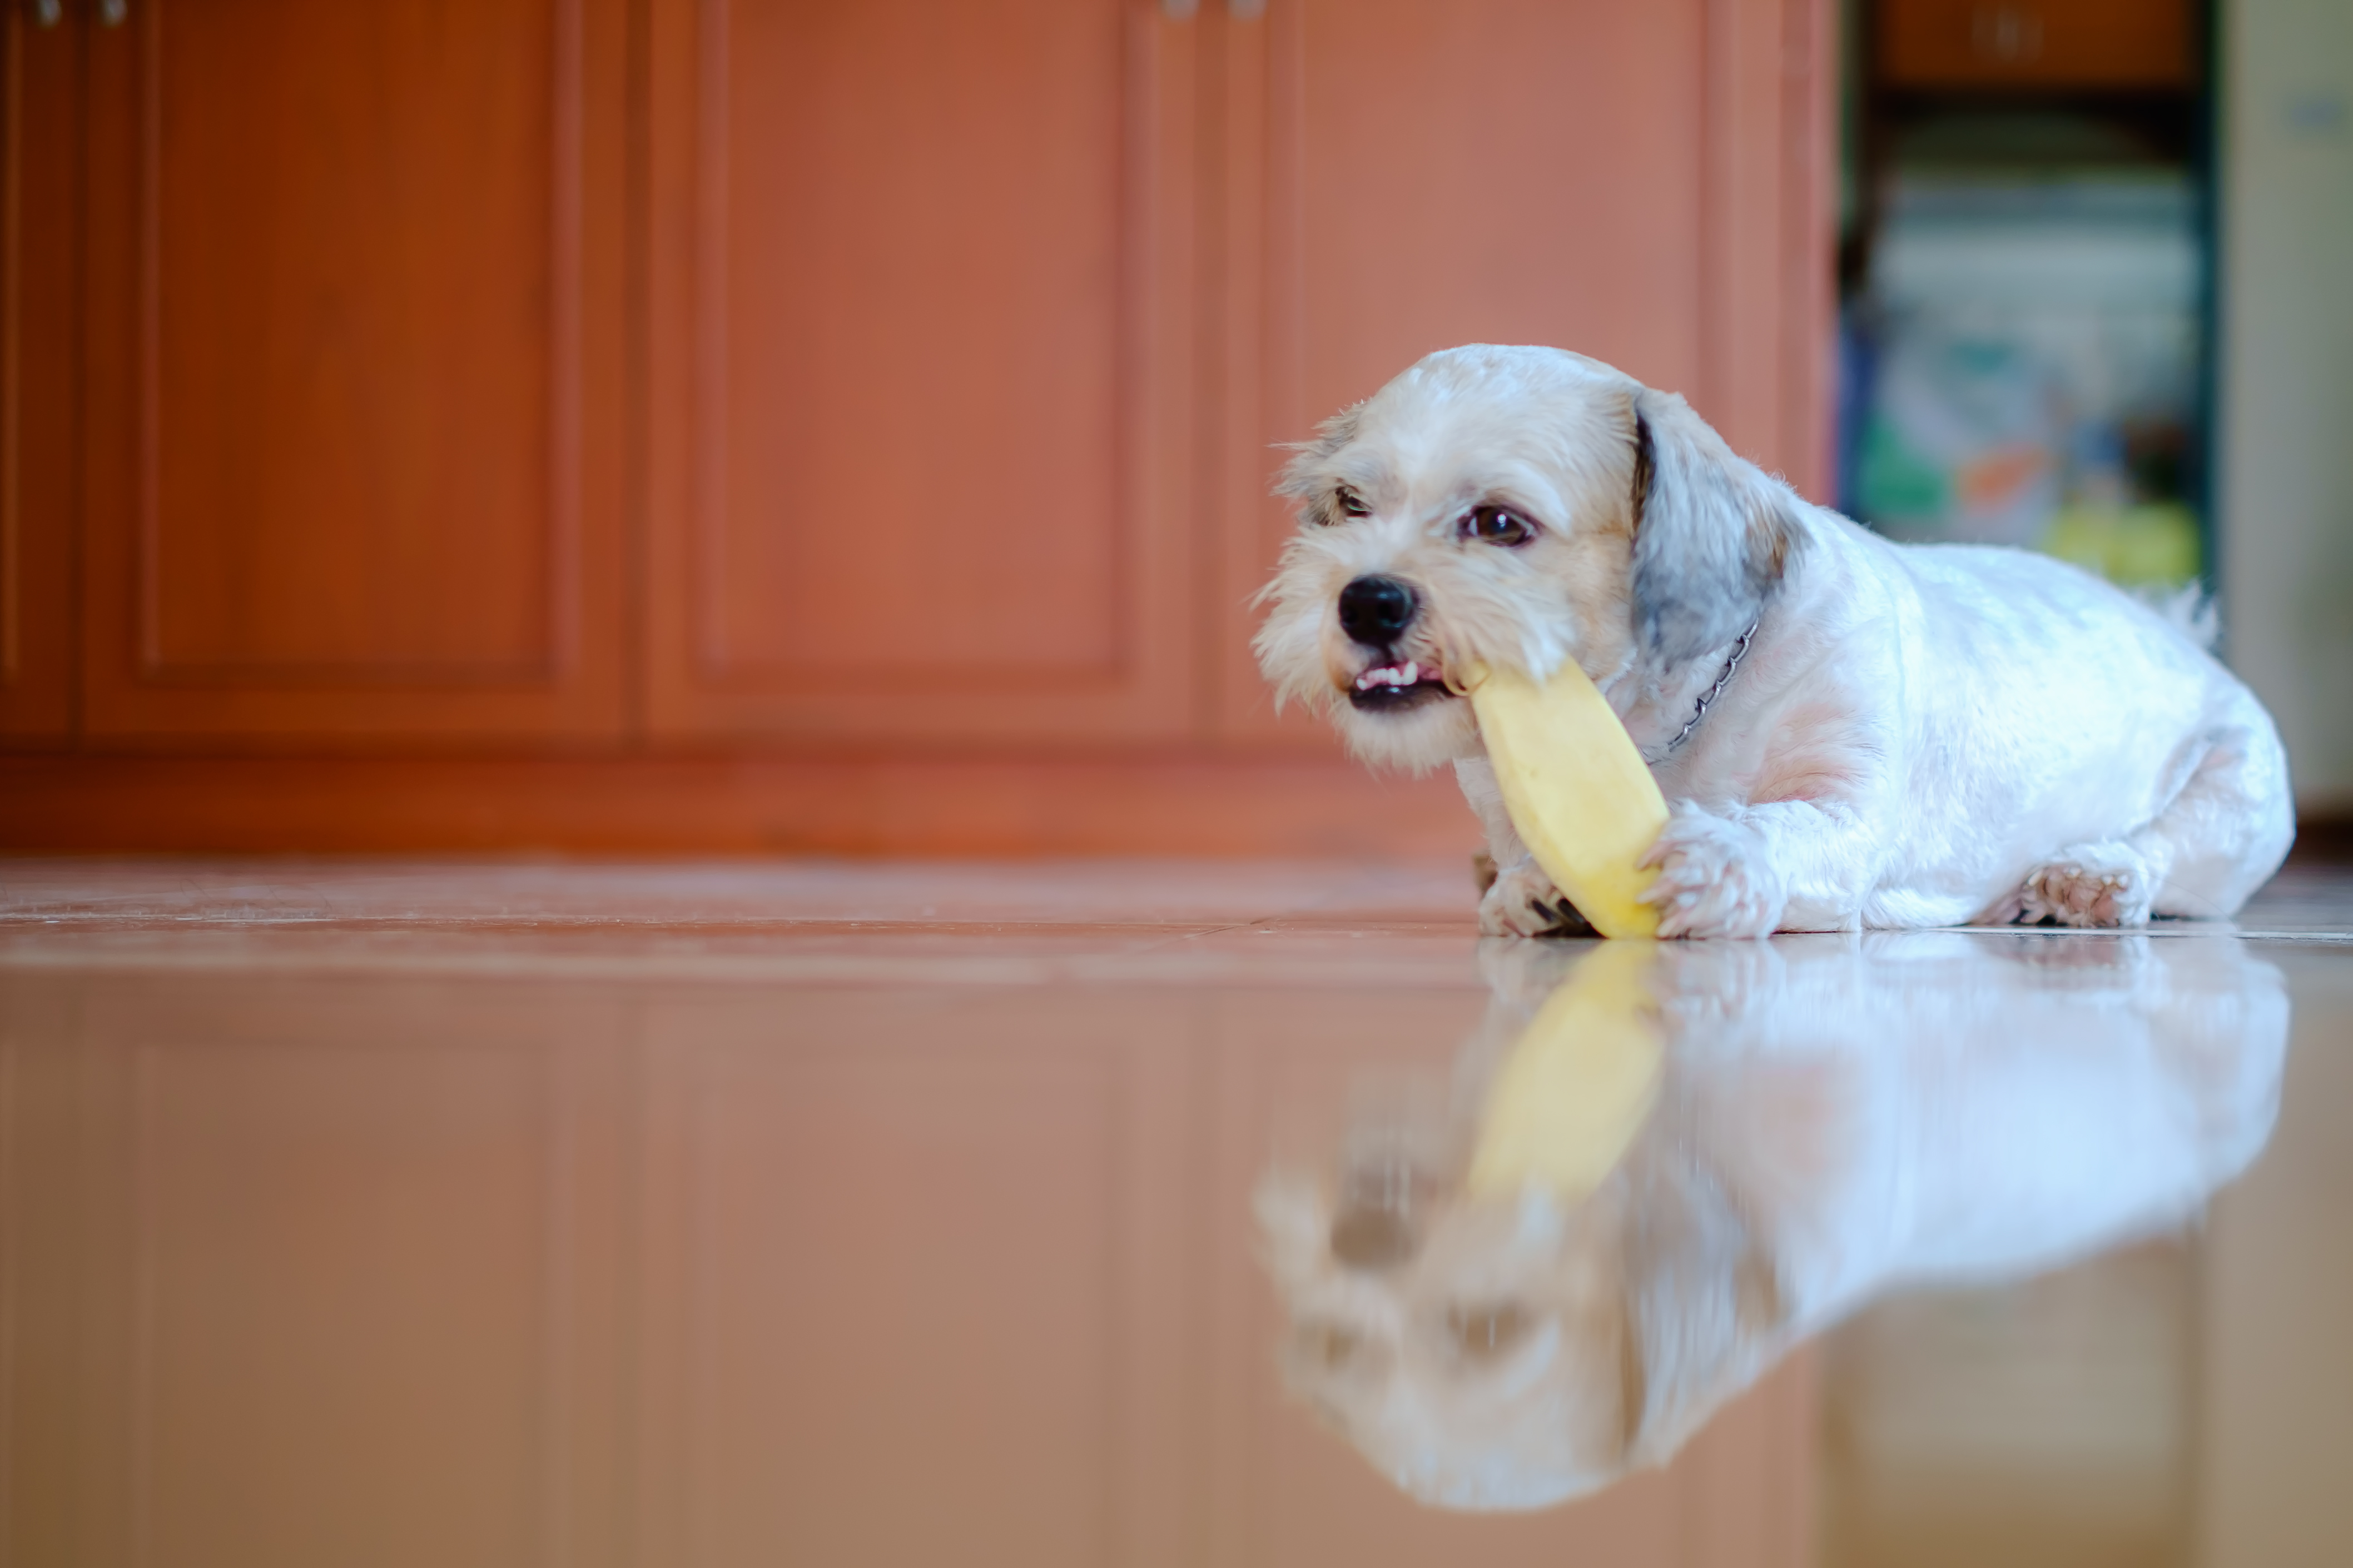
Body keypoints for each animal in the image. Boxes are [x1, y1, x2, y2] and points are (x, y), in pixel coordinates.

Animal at [1261, 343, 2287, 930]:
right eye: (1351, 504)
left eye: (1501, 524)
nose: (1365, 601)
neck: (1659, 722)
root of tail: (2174, 628)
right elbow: (1517, 853)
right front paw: (1523, 883)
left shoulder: (1846, 809)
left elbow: (1784, 826)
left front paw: (1719, 856)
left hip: (2234, 803)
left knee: (2165, 856)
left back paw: (2091, 877)